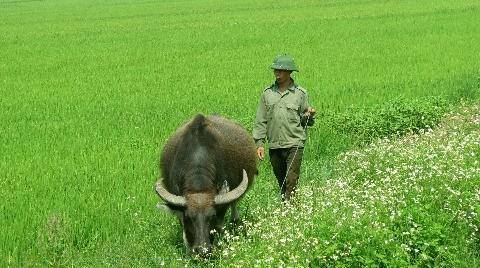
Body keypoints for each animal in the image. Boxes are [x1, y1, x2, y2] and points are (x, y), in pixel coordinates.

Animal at [156, 113, 256, 255]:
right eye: (189, 216)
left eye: (212, 215)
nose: (203, 250)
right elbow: (184, 232)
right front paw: (189, 253)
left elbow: (219, 226)